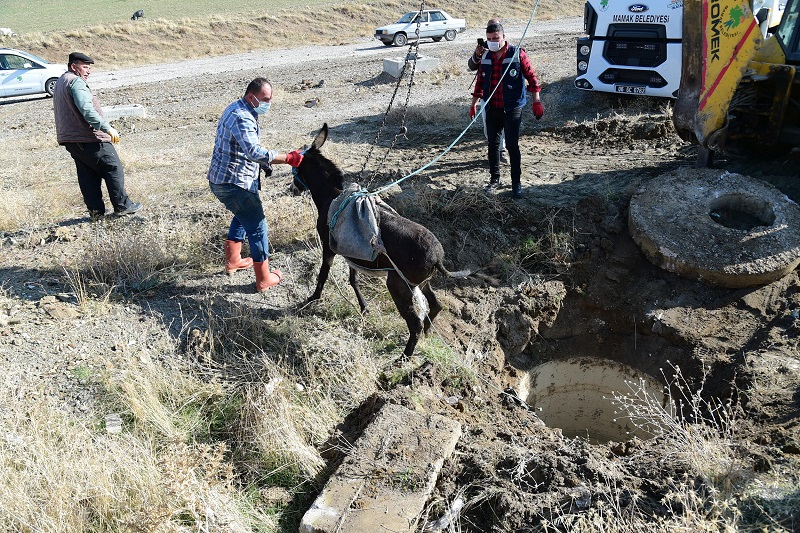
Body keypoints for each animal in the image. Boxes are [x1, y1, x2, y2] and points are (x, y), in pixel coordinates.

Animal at [291, 124, 469, 357]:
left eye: (294, 169)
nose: (292, 188)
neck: (332, 195)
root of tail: (437, 257)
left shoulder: (329, 248)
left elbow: (323, 275)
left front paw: (313, 298)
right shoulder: (353, 253)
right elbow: (353, 280)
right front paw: (364, 307)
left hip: (398, 284)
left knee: (415, 323)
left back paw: (404, 357)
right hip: (421, 282)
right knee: (436, 305)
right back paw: (427, 335)